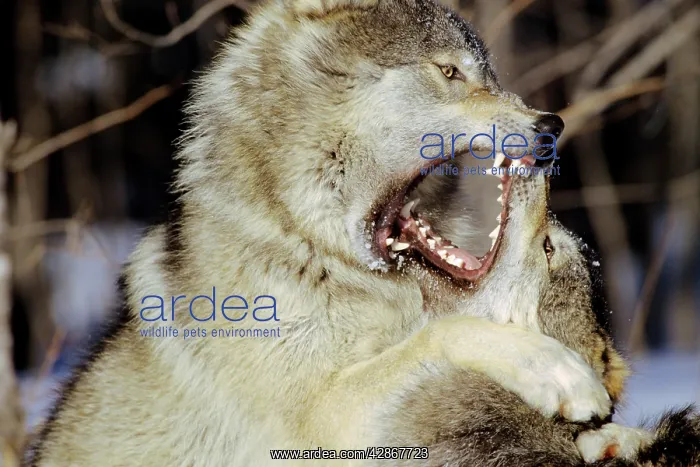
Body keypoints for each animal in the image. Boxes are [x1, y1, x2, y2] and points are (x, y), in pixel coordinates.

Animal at [27, 0, 628, 464]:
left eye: (491, 77)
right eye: (451, 73)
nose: (551, 125)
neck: (311, 249)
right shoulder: (318, 424)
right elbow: (444, 334)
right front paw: (559, 373)